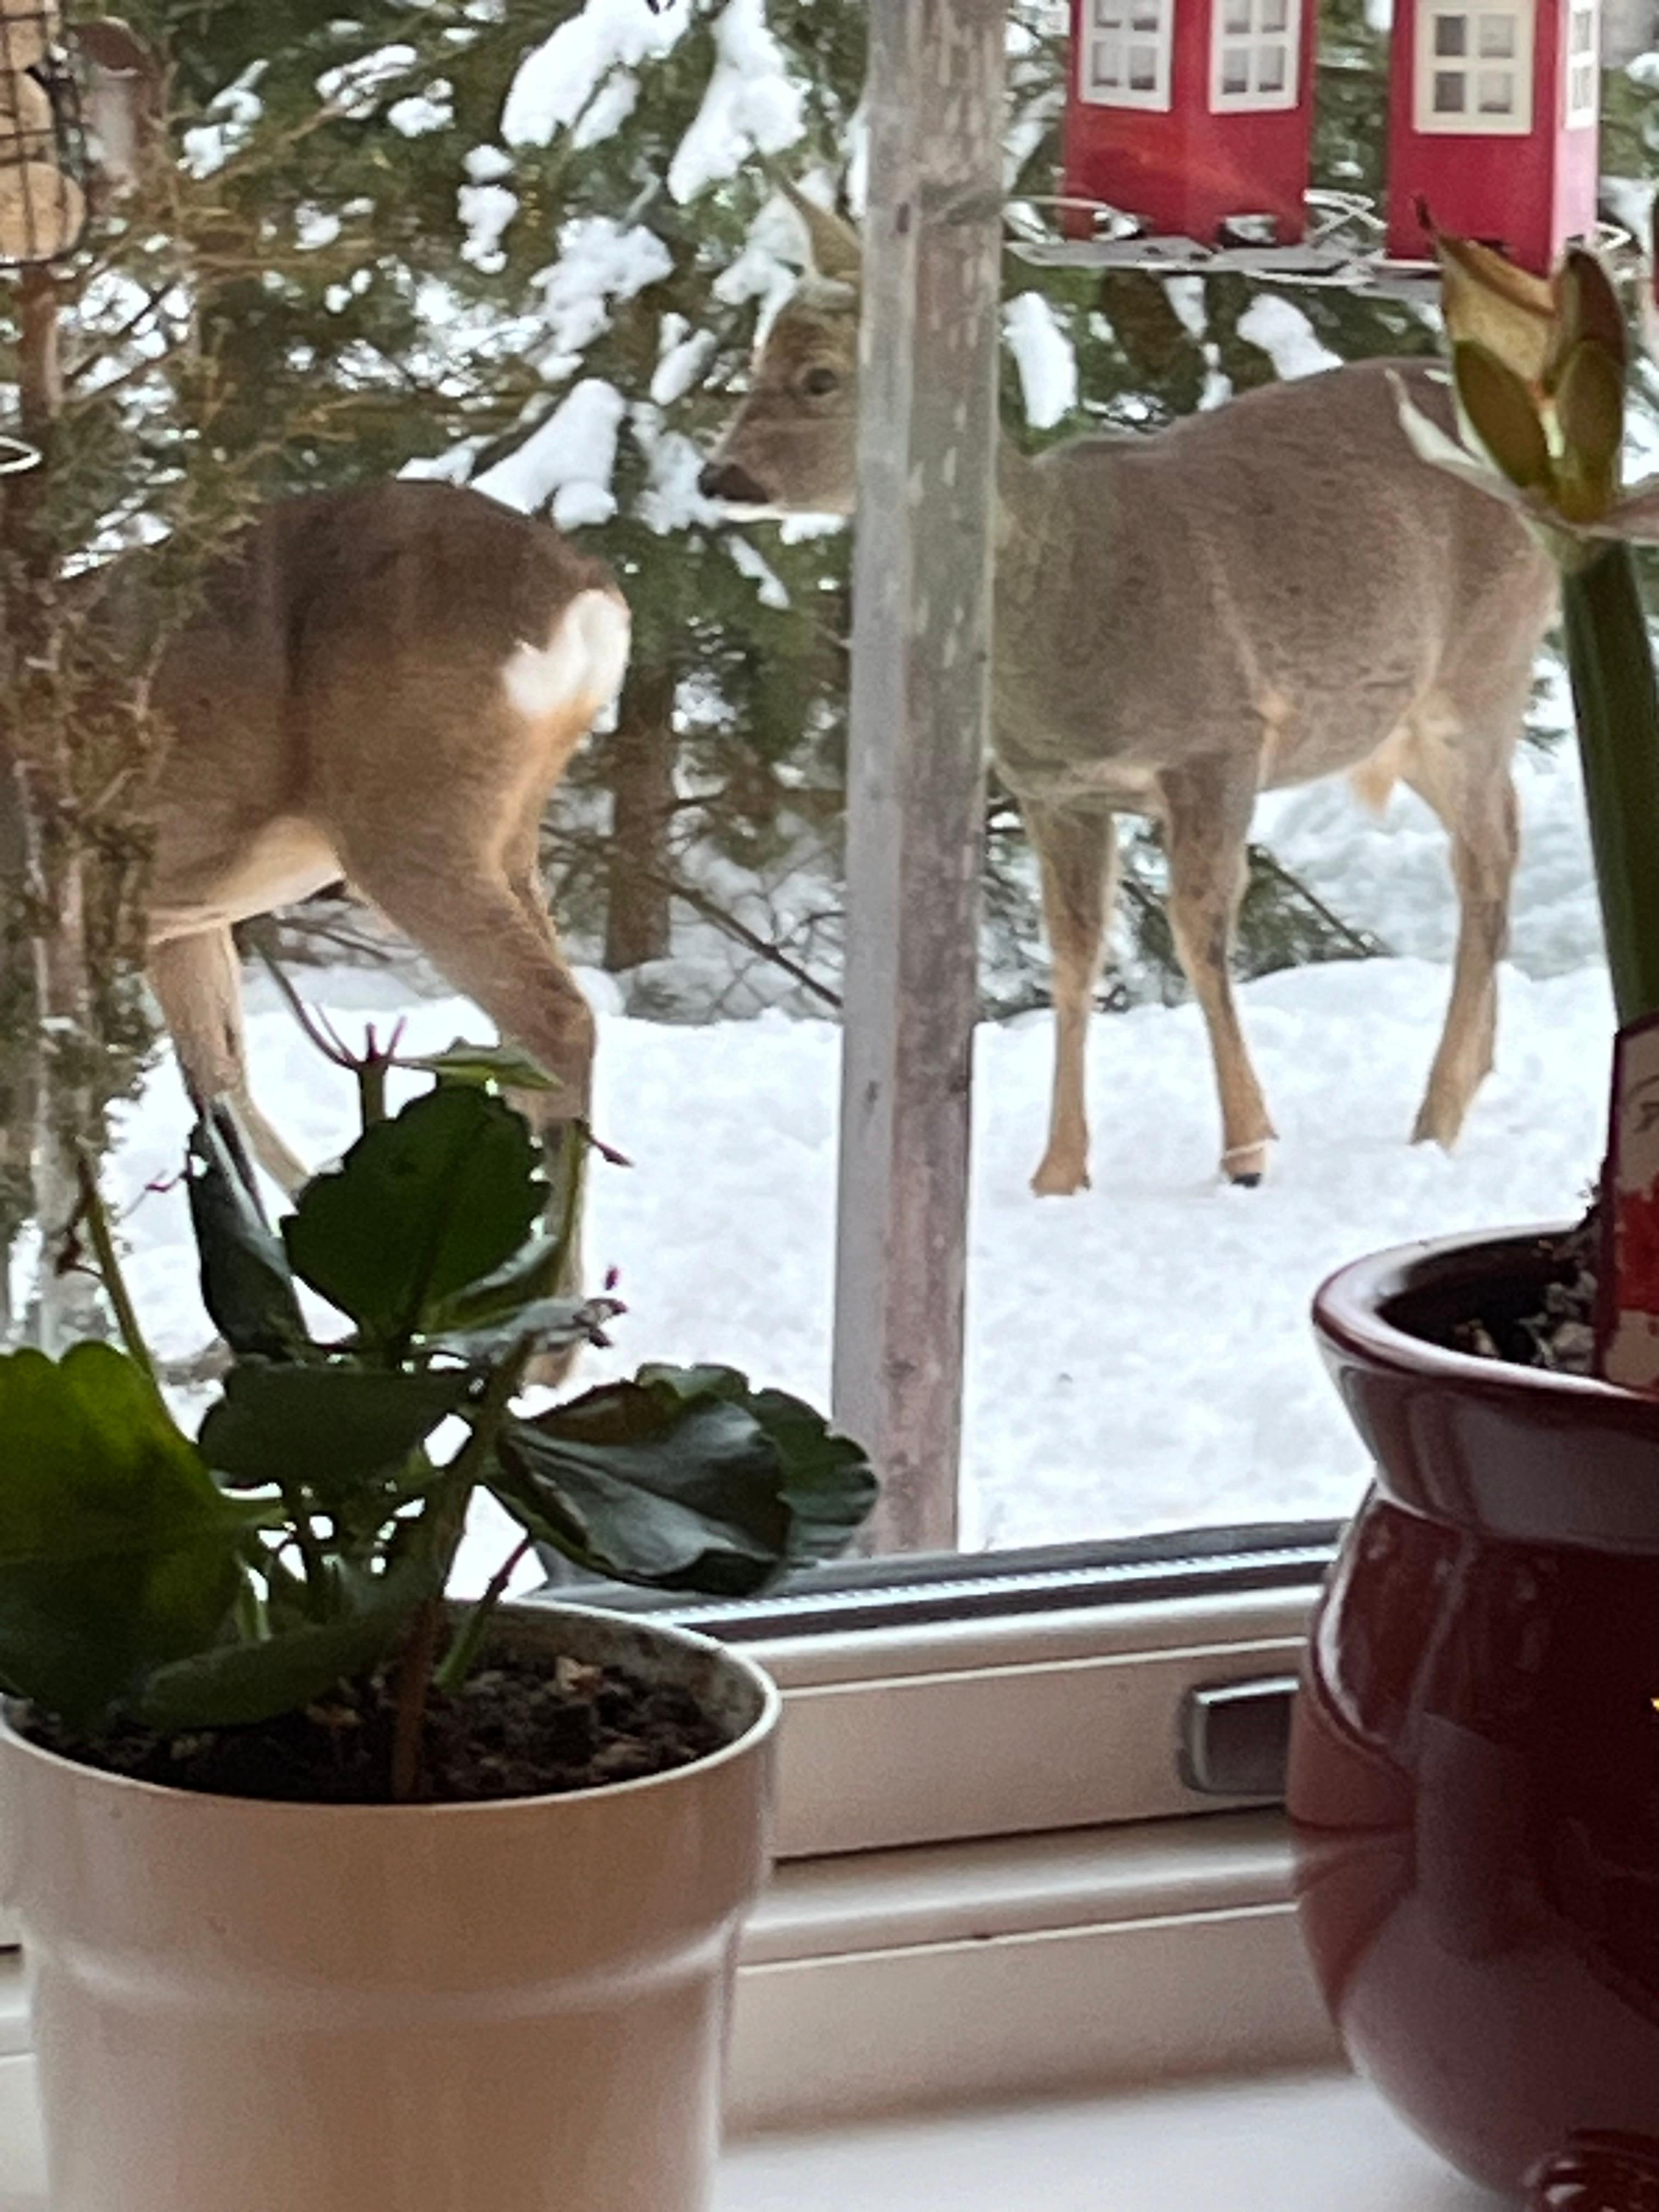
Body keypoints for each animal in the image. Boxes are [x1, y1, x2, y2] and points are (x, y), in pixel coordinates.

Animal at [73, 479, 628, 1229]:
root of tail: (584, 595)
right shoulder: (178, 920)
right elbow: (218, 1086)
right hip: (508, 834)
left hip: (407, 821)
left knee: (557, 1019)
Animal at [708, 188, 1566, 1194]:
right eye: (756, 357)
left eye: (819, 377)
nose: (716, 475)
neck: (1062, 596)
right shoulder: (1054, 789)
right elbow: (1072, 957)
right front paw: (1056, 1173)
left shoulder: (1219, 739)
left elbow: (1198, 934)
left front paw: (1247, 1149)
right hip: (1402, 719)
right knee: (1500, 835)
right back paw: (1471, 1080)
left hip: (1482, 666)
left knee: (1483, 863)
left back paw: (1436, 1115)